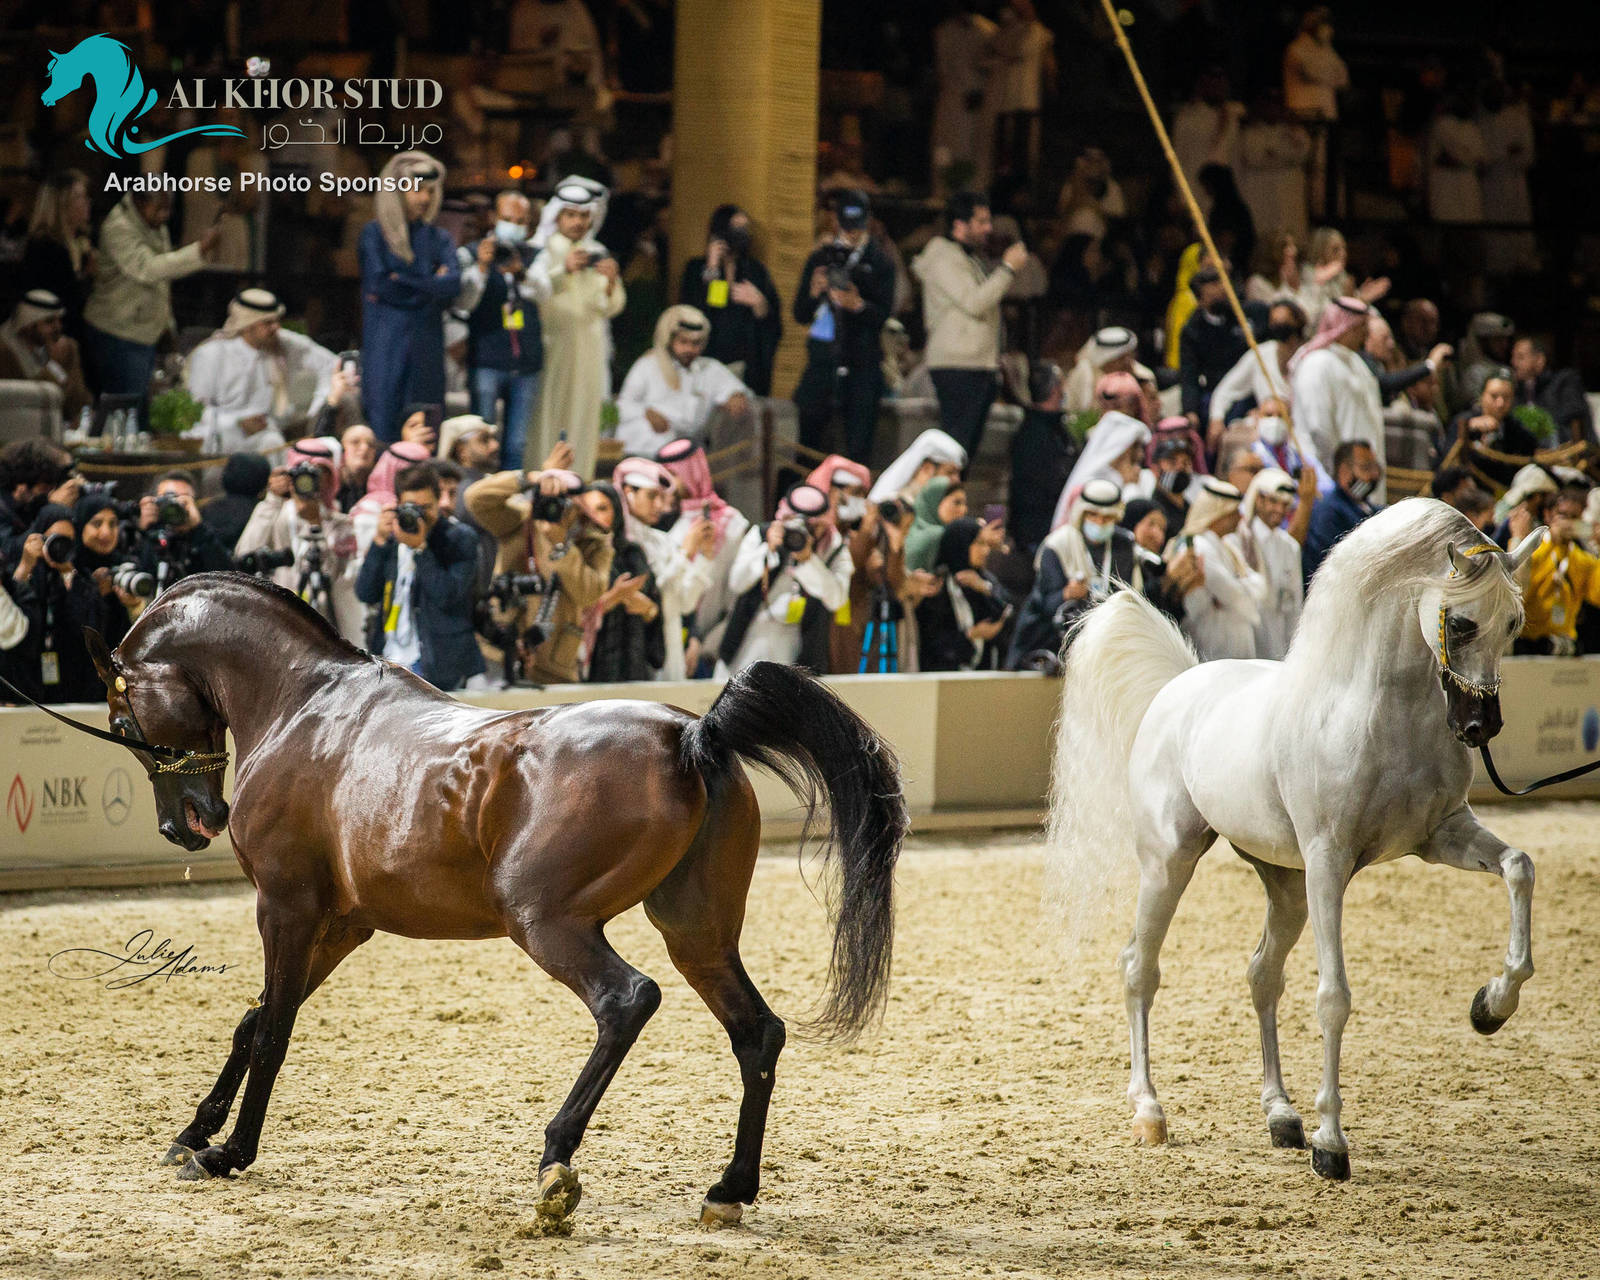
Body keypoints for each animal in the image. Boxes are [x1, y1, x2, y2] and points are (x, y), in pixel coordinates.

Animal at [81, 572, 906, 1227]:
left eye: (121, 722)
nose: (188, 822)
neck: (302, 706)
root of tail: (689, 733)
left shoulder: (286, 905)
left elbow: (274, 1030)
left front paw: (229, 1152)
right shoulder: (341, 924)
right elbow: (254, 1021)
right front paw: (192, 1137)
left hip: (546, 922)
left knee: (628, 1000)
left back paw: (556, 1166)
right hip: (696, 933)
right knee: (756, 1032)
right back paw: (729, 1189)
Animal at [1047, 498, 1541, 1180]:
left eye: (1514, 621)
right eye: (1462, 623)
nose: (1478, 727)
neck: (1377, 714)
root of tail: (1178, 686)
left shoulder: (1441, 836)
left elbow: (1519, 866)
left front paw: (1490, 1006)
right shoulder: (1329, 862)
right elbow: (1333, 997)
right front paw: (1331, 1146)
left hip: (1283, 884)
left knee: (1261, 975)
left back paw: (1280, 1115)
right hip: (1170, 864)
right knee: (1138, 969)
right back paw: (1150, 1113)